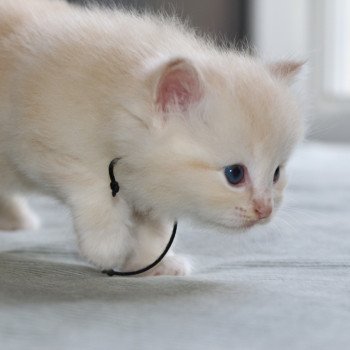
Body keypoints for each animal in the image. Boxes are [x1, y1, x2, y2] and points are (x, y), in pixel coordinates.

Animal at [0, 0, 304, 276]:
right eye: (235, 174)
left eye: (276, 174)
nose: (265, 210)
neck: (114, 105)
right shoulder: (35, 143)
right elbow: (92, 185)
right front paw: (106, 245)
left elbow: (152, 229)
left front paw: (153, 264)